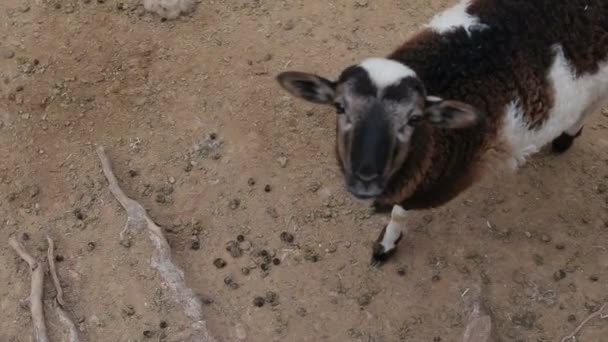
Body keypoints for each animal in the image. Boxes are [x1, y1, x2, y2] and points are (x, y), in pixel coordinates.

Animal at [276, 0, 608, 266]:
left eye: (414, 119)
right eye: (339, 107)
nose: (364, 178)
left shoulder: (430, 180)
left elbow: (400, 211)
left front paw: (387, 242)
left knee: (591, 106)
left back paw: (567, 136)